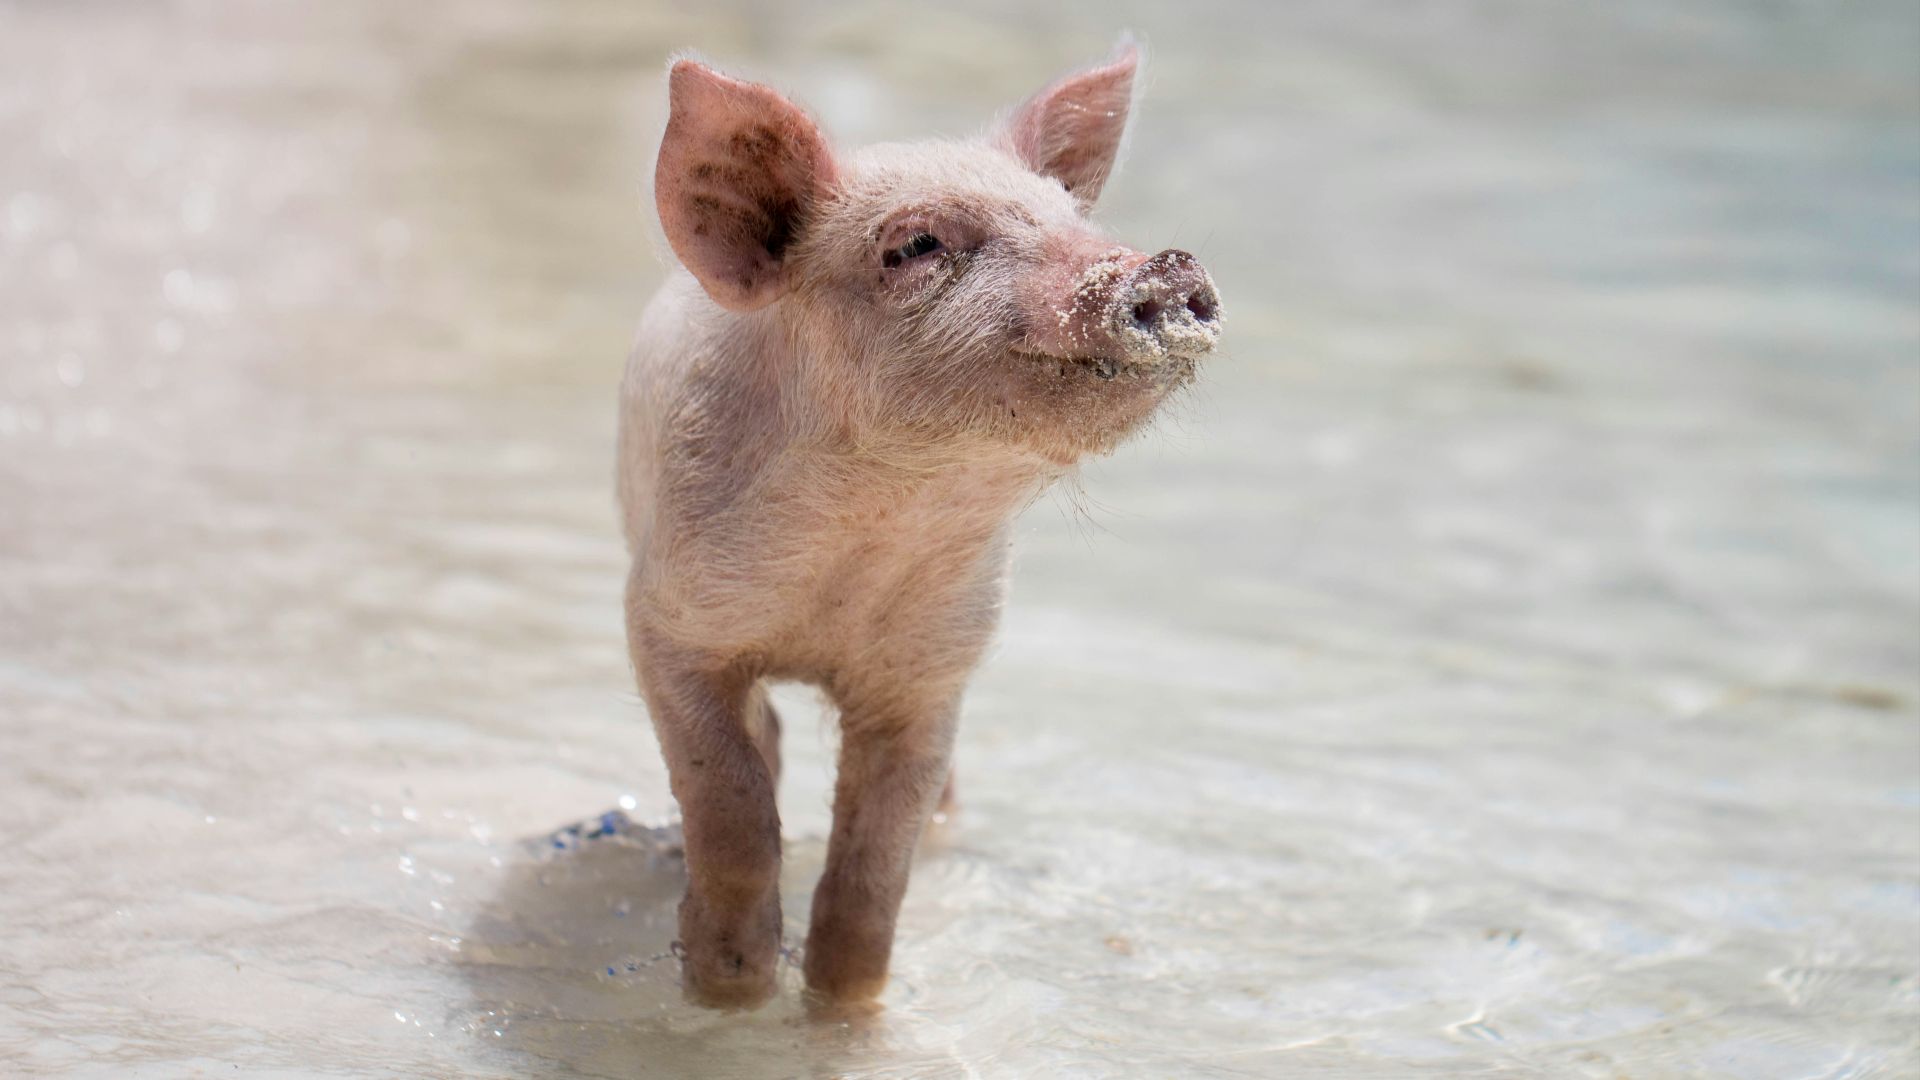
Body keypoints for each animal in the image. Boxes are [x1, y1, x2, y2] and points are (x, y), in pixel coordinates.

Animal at [616, 41, 1220, 1009]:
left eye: (1070, 217)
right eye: (915, 245)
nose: (1166, 266)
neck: (863, 549)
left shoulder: (934, 669)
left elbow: (875, 865)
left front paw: (841, 1005)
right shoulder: (666, 622)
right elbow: (731, 800)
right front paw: (729, 986)